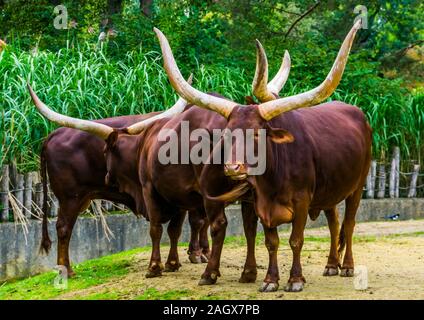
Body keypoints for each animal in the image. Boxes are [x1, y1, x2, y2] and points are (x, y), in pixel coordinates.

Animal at [31, 76, 212, 276]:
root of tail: (55, 133)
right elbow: (195, 222)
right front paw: (195, 255)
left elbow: (184, 226)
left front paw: (189, 257)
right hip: (70, 197)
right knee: (63, 228)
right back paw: (66, 270)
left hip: (81, 198)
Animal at [155, 20, 372, 292]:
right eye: (226, 133)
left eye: (258, 134)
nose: (233, 168)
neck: (274, 178)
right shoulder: (262, 203)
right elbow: (271, 242)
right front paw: (270, 280)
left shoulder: (302, 201)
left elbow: (296, 240)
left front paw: (295, 280)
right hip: (329, 192)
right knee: (334, 223)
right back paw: (331, 265)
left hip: (357, 187)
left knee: (349, 224)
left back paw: (347, 267)